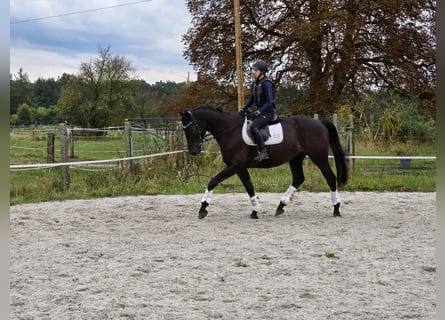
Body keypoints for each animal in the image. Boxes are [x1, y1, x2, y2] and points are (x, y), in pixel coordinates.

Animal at [179, 106, 348, 219]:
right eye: (184, 130)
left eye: (191, 128)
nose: (194, 151)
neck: (230, 131)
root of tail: (320, 123)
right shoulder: (240, 168)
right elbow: (249, 187)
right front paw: (255, 211)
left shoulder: (235, 166)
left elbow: (213, 181)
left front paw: (203, 208)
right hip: (296, 158)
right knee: (298, 178)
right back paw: (281, 206)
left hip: (318, 157)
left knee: (330, 177)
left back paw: (336, 209)